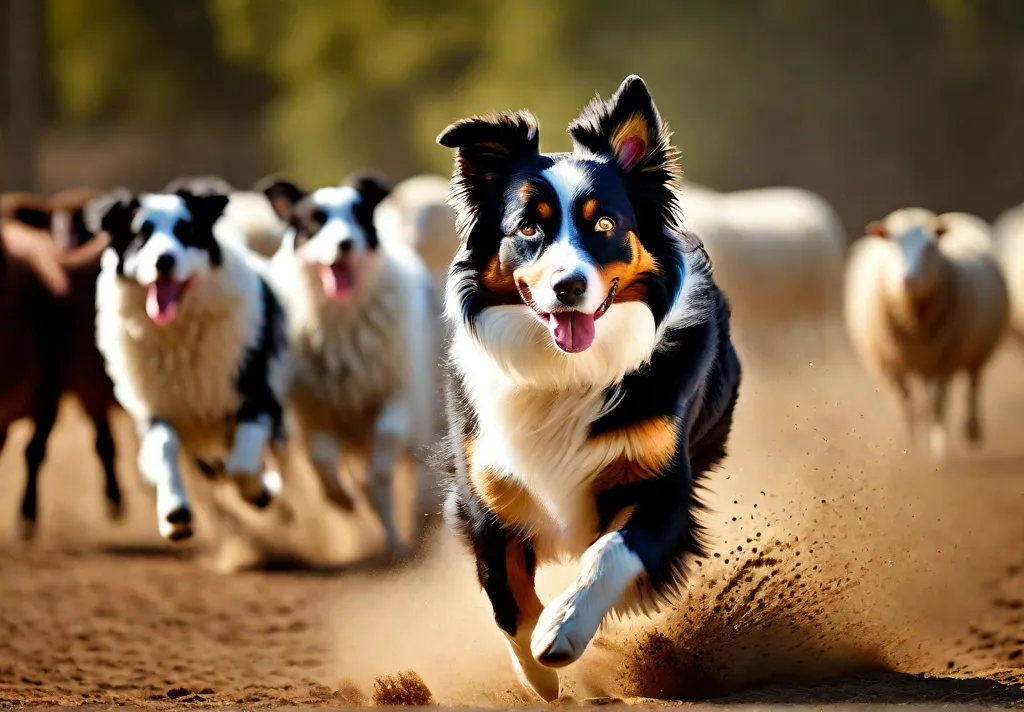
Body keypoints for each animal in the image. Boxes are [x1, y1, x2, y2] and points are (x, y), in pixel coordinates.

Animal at [436, 75, 741, 700]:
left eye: (605, 226)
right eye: (528, 227)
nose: (569, 286)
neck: (564, 370)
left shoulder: (662, 490)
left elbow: (609, 554)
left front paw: (563, 630)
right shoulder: (483, 493)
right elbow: (505, 597)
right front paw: (538, 675)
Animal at [839, 207, 1007, 463]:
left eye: (929, 247)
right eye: (892, 242)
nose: (908, 279)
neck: (913, 318)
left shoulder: (945, 361)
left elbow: (938, 405)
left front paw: (937, 451)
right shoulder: (891, 364)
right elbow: (906, 404)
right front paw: (911, 448)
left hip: (976, 351)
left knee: (973, 386)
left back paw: (972, 431)